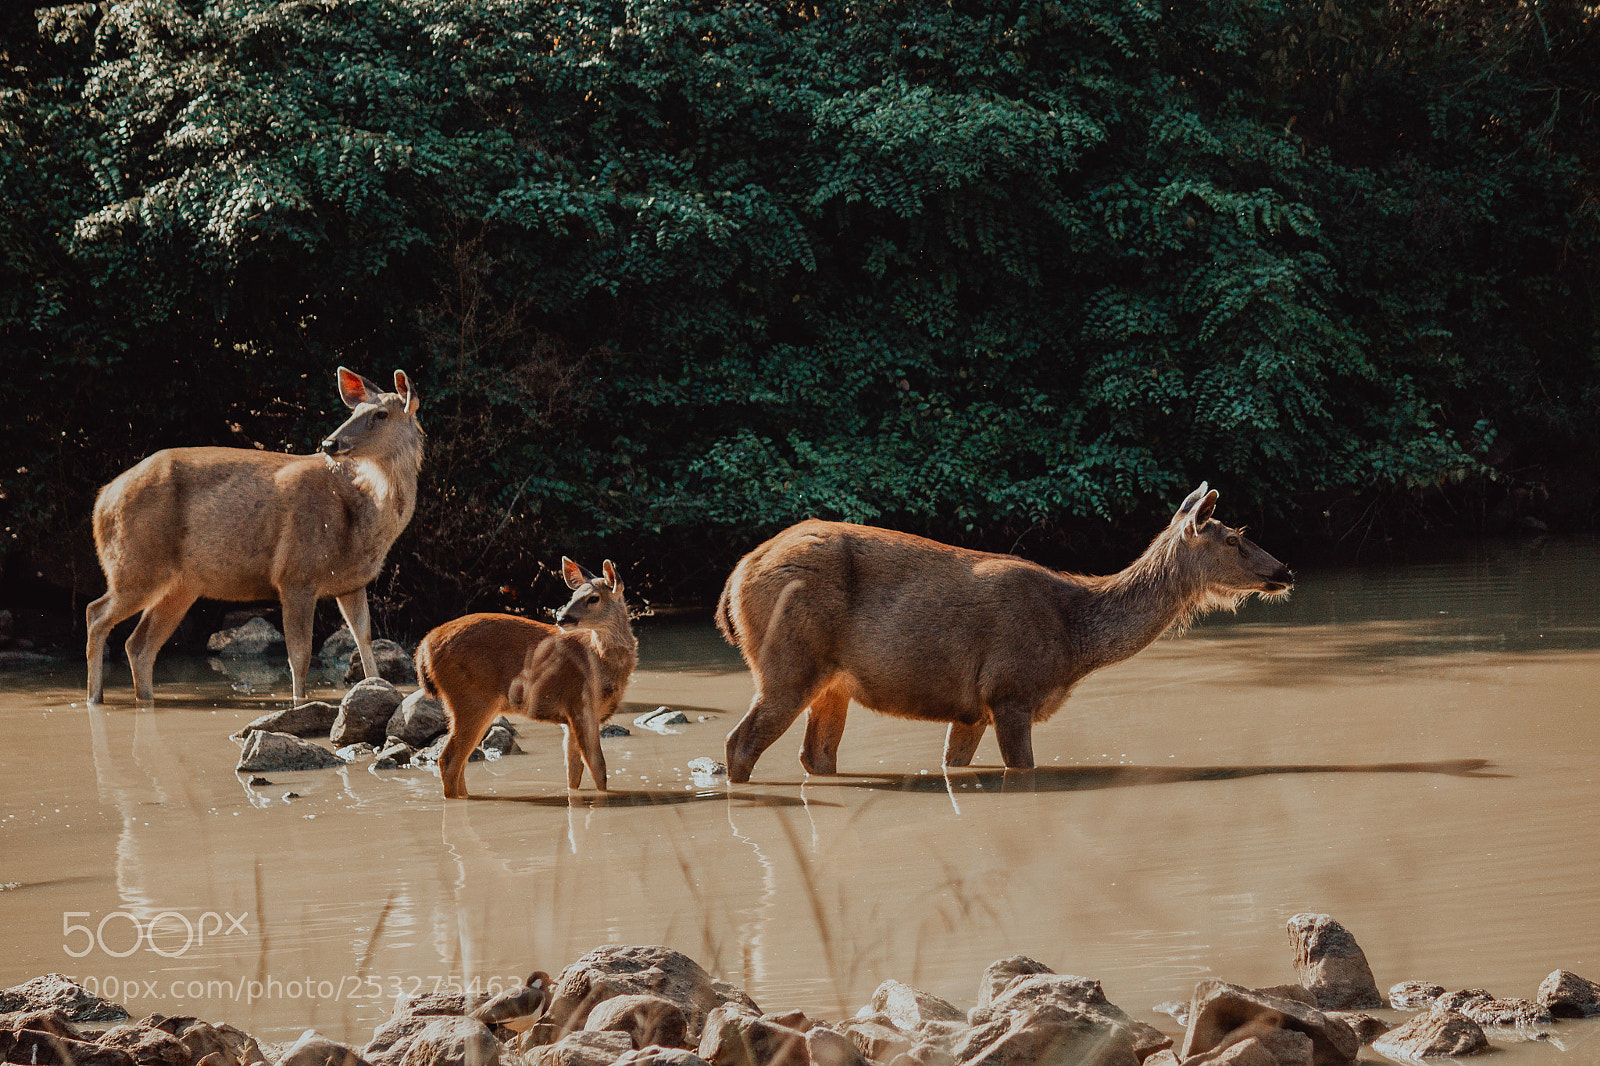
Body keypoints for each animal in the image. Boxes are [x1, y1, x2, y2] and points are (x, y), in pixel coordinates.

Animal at [86, 368, 423, 705]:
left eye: (381, 414)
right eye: (354, 411)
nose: (330, 443)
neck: (362, 522)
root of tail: (102, 499)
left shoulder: (352, 582)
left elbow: (364, 638)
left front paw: (378, 688)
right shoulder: (295, 574)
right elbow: (300, 655)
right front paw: (300, 703)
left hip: (181, 584)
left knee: (138, 645)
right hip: (136, 563)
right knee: (96, 613)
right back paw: (94, 697)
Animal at [414, 559, 637, 798]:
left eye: (593, 598)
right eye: (573, 595)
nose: (561, 618)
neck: (599, 660)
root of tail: (424, 647)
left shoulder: (569, 718)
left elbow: (573, 773)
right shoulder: (581, 703)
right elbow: (599, 768)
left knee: (460, 763)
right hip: (470, 699)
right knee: (449, 760)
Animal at [715, 483, 1294, 783]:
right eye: (1235, 539)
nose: (1285, 570)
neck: (1073, 641)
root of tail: (735, 578)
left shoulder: (971, 708)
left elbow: (952, 763)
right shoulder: (1011, 689)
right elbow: (1026, 770)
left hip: (832, 682)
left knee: (816, 755)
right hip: (788, 661)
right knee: (739, 743)